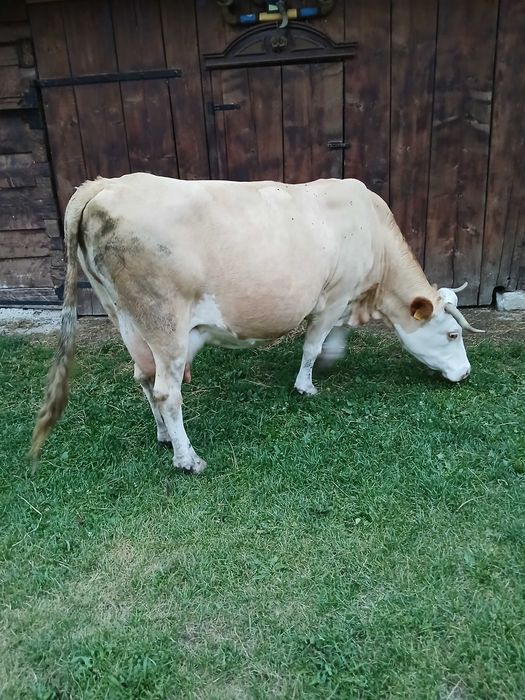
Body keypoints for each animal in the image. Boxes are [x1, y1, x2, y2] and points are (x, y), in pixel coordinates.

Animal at [30, 174, 483, 474]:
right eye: (452, 333)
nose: (465, 372)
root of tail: (105, 184)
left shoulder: (347, 298)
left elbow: (335, 339)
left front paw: (331, 361)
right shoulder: (333, 296)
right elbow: (313, 345)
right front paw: (306, 385)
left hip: (125, 316)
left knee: (144, 378)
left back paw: (164, 437)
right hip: (165, 321)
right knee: (166, 393)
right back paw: (187, 458)